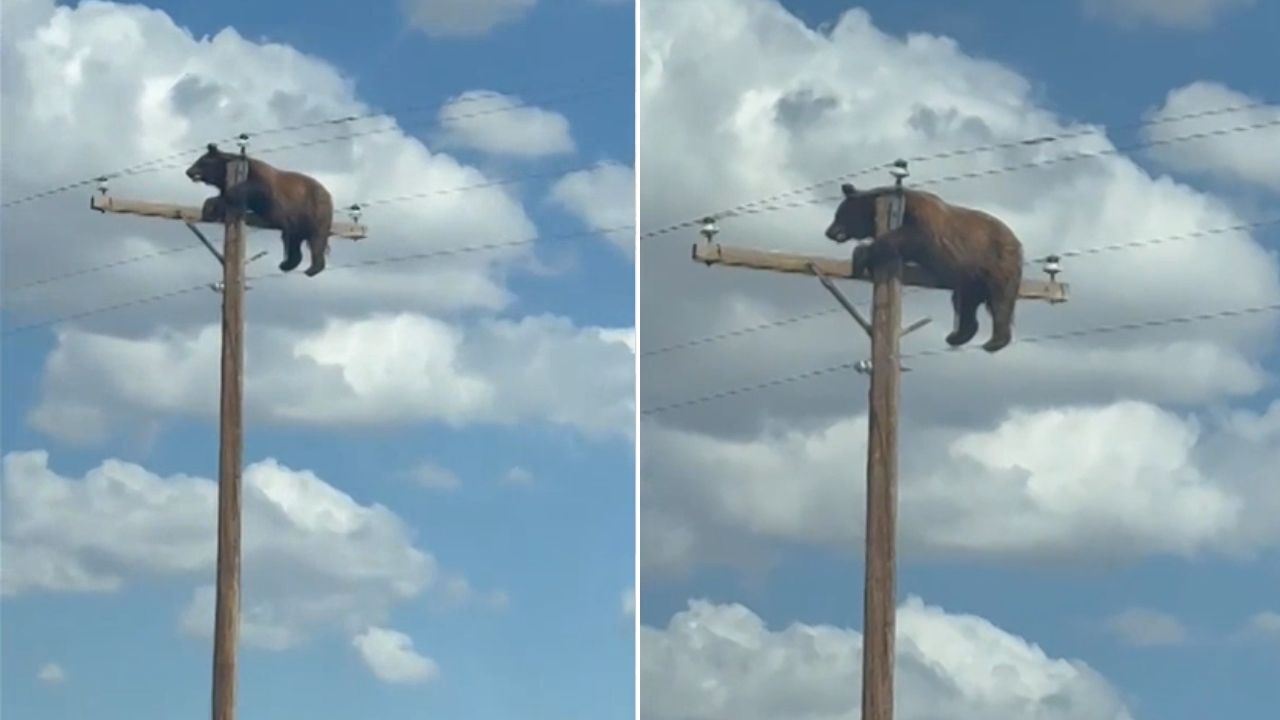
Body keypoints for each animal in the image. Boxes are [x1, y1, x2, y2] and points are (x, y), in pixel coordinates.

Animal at [185, 143, 334, 277]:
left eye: (201, 161)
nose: (188, 171)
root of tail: (328, 194)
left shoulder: (261, 180)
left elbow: (252, 188)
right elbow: (222, 199)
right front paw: (209, 210)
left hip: (315, 210)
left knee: (316, 239)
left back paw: (313, 268)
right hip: (296, 221)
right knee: (292, 240)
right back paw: (286, 264)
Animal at [824, 183, 1024, 353]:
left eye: (838, 214)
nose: (828, 232)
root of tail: (1017, 242)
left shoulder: (923, 221)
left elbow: (911, 236)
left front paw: (860, 255)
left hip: (997, 261)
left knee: (1000, 299)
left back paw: (995, 341)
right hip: (970, 278)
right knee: (965, 303)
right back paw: (957, 336)